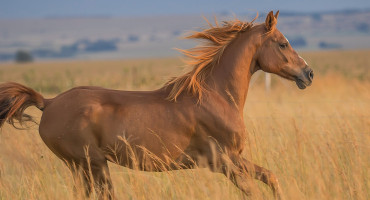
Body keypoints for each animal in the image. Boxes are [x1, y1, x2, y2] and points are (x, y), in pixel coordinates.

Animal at [0, 11, 312, 200]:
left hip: (85, 167)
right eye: (283, 43)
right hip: (90, 164)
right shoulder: (224, 160)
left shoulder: (230, 161)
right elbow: (257, 186)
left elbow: (270, 177)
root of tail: (48, 102)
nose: (308, 73)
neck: (216, 96)